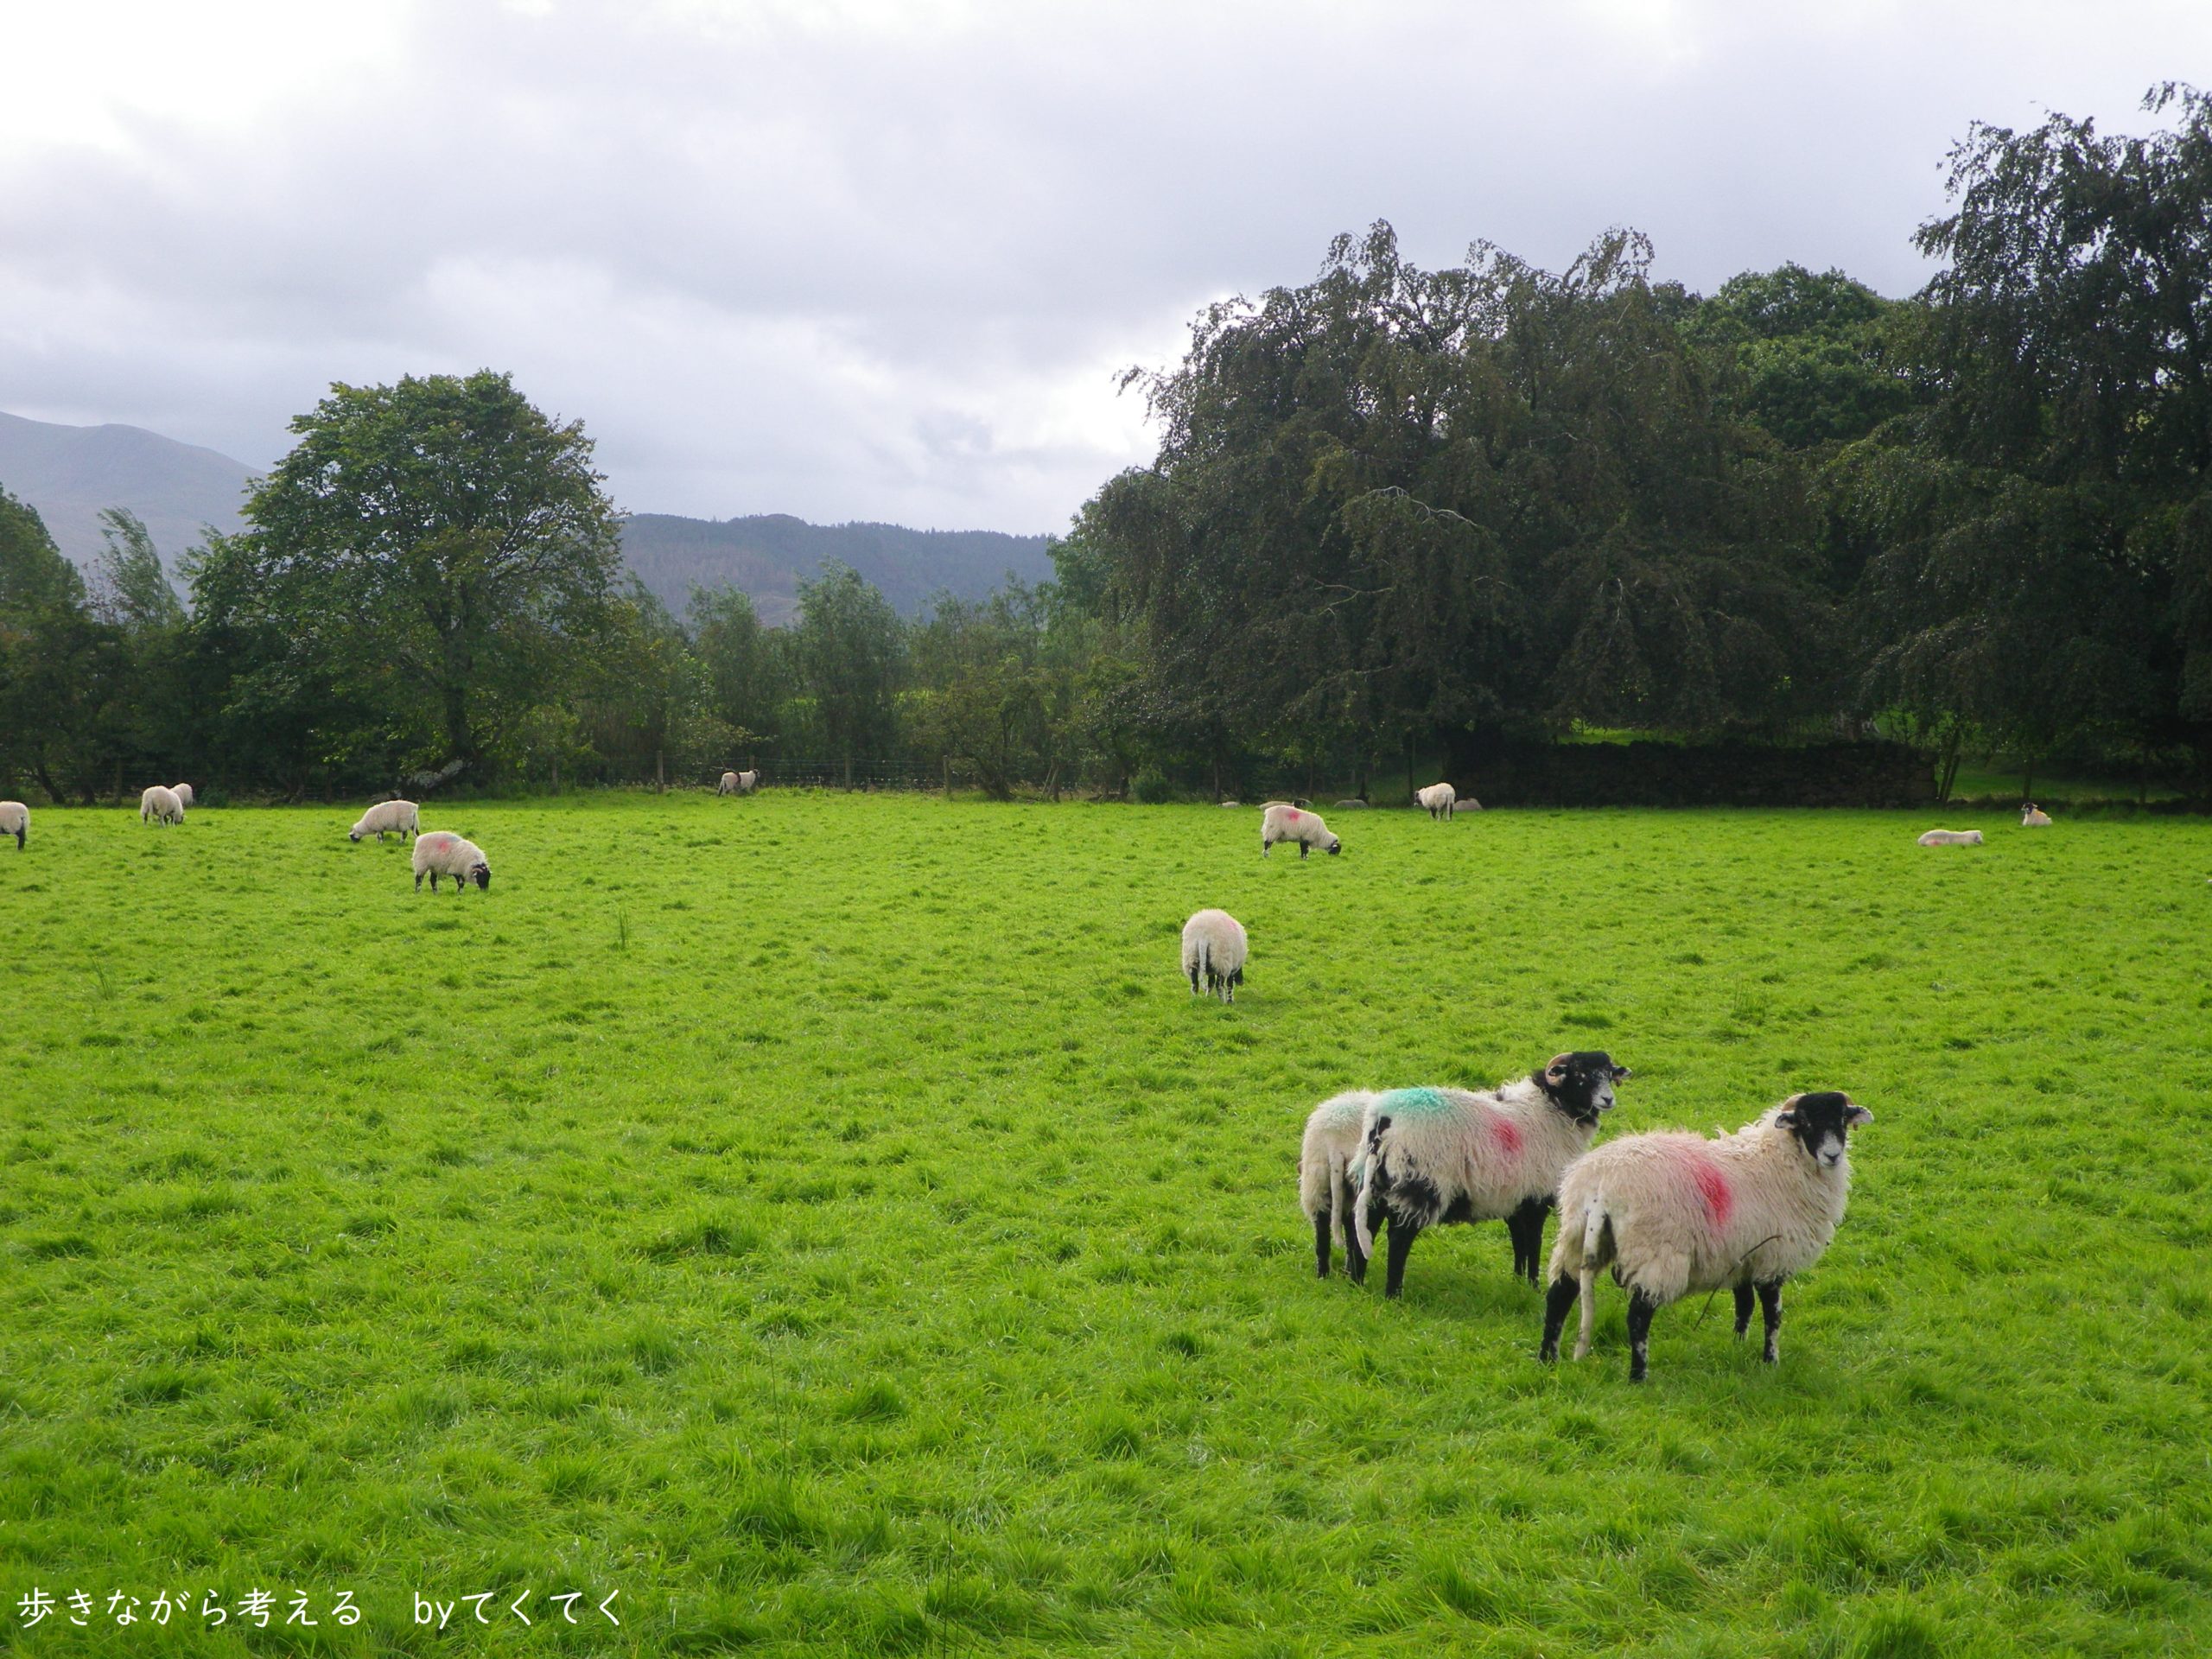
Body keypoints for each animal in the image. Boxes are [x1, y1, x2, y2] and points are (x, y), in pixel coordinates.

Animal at [1336, 1057, 1637, 1309]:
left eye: (1609, 1074)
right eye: (1580, 1074)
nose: (1608, 1099)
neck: (1552, 1111)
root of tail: (1383, 1118)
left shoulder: (1516, 1200)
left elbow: (1519, 1243)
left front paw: (1518, 1283)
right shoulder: (1536, 1199)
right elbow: (1533, 1243)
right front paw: (1534, 1286)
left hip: (1377, 1182)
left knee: (1365, 1226)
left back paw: (1357, 1281)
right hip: (1420, 1184)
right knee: (1399, 1238)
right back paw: (1394, 1294)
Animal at [1539, 1092, 1885, 1389]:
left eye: (1841, 1120)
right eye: (1806, 1122)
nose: (1832, 1155)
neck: (1780, 1160)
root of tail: (1602, 1183)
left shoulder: (1741, 1256)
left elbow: (1744, 1307)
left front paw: (1737, 1347)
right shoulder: (1772, 1258)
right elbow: (1773, 1315)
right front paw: (1770, 1361)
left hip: (1576, 1233)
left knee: (1559, 1294)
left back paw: (1547, 1360)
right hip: (1655, 1251)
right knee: (1637, 1315)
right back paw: (1639, 1376)